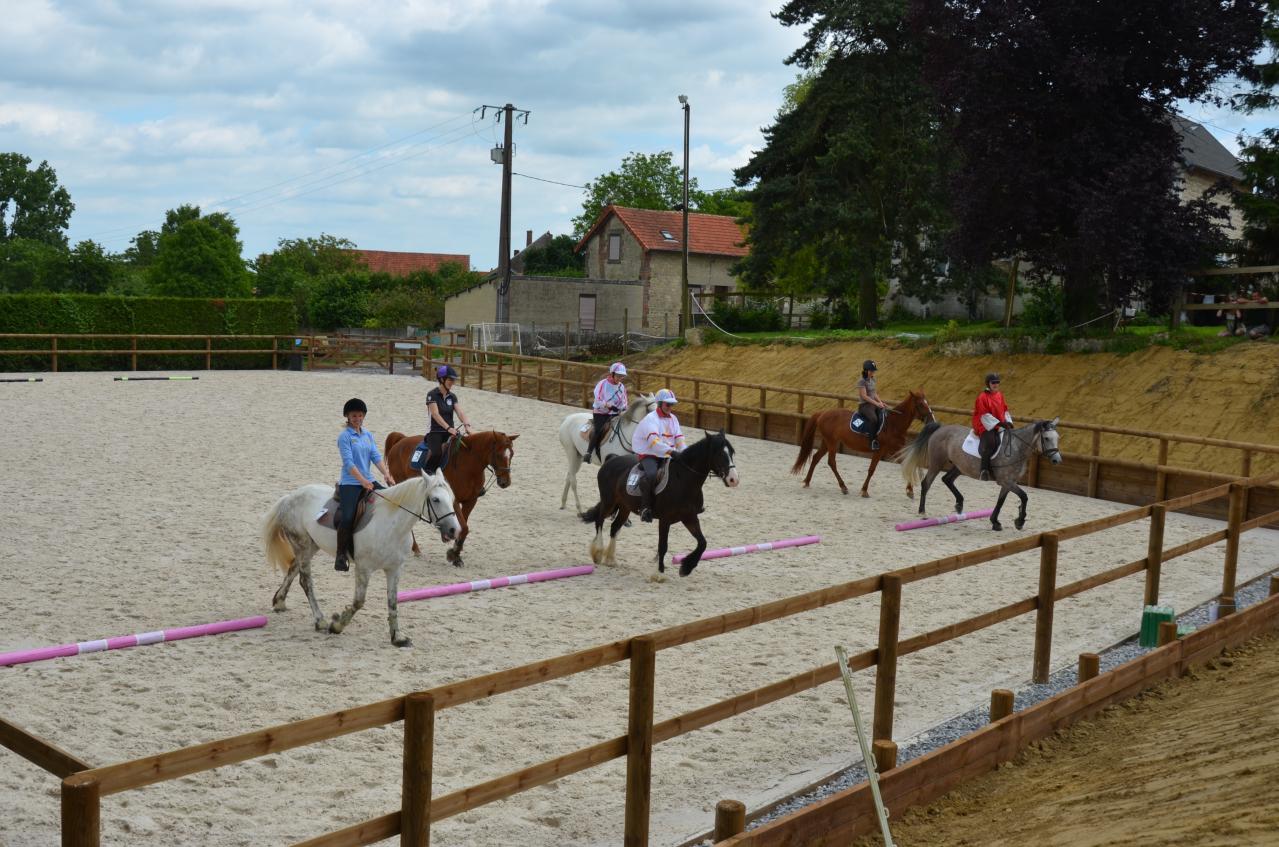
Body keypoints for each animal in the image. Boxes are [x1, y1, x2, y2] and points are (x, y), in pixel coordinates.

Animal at [259, 473, 460, 647]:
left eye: (451, 498)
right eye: (436, 499)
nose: (454, 530)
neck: (391, 525)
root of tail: (290, 497)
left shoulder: (394, 569)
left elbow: (393, 602)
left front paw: (397, 637)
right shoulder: (364, 568)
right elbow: (358, 601)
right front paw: (337, 625)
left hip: (310, 546)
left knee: (293, 569)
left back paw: (279, 601)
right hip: (302, 545)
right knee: (305, 581)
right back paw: (320, 620)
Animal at [381, 432, 516, 570]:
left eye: (512, 454)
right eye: (498, 454)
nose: (505, 482)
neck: (468, 464)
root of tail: (400, 440)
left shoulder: (471, 501)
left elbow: (462, 527)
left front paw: (456, 554)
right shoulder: (454, 501)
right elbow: (464, 527)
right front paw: (453, 554)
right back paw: (415, 548)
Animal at [583, 435, 741, 580]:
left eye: (732, 452)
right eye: (720, 453)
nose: (733, 479)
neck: (683, 480)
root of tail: (611, 459)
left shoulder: (689, 517)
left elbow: (702, 543)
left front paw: (686, 567)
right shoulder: (665, 520)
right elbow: (663, 546)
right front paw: (659, 574)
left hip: (624, 507)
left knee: (614, 527)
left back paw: (610, 559)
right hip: (609, 502)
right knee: (599, 521)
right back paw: (598, 553)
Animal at [782, 388, 936, 498]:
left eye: (927, 402)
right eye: (921, 404)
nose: (932, 420)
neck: (893, 424)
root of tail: (823, 413)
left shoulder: (896, 449)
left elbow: (906, 464)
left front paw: (910, 490)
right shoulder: (880, 450)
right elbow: (871, 470)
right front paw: (864, 491)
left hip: (826, 442)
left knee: (815, 458)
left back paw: (807, 481)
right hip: (832, 442)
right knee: (831, 462)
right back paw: (843, 487)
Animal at [895, 417, 1064, 532]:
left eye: (1057, 438)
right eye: (1047, 438)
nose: (1057, 460)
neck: (1017, 448)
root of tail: (940, 428)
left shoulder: (1008, 483)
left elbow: (1000, 502)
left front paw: (996, 522)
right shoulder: (1006, 481)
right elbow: (1024, 496)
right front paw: (1020, 521)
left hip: (960, 466)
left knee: (947, 479)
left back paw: (959, 504)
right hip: (937, 464)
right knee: (927, 483)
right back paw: (922, 511)